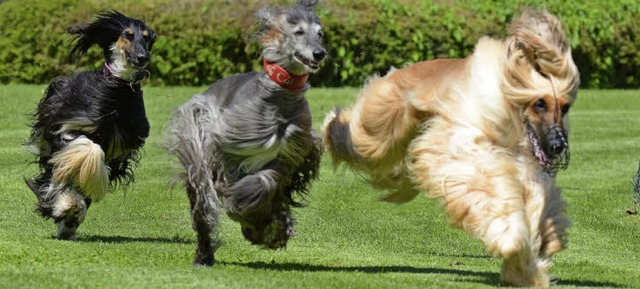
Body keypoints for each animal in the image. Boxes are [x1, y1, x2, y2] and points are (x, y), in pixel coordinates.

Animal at [25, 11, 156, 240]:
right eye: (128, 35)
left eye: (147, 38)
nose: (142, 57)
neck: (117, 90)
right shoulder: (66, 127)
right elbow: (89, 149)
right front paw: (67, 204)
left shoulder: (120, 147)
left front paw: (73, 206)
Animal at [166, 0, 324, 266]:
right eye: (299, 32)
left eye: (320, 34)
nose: (319, 53)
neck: (278, 101)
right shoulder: (229, 148)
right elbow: (242, 188)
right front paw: (256, 223)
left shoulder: (290, 151)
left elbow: (267, 182)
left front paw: (269, 229)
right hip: (198, 149)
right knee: (202, 205)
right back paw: (203, 254)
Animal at [322, 10, 576, 286]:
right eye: (539, 103)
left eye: (565, 107)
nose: (557, 146)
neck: (514, 126)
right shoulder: (463, 149)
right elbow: (489, 190)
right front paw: (511, 238)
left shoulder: (529, 170)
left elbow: (535, 205)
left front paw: (527, 269)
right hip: (383, 120)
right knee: (359, 139)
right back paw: (330, 126)